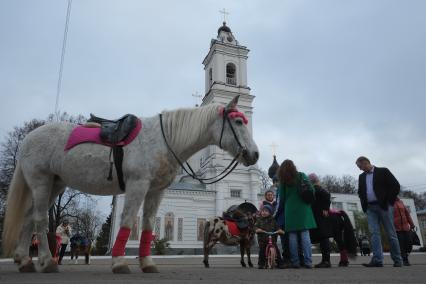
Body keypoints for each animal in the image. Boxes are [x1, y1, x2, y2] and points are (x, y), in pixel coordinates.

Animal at [2, 96, 260, 274]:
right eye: (238, 121)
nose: (255, 155)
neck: (164, 139)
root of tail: (29, 137)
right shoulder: (137, 186)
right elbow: (127, 222)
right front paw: (119, 262)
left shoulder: (156, 191)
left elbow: (147, 225)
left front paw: (147, 263)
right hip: (40, 181)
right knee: (39, 220)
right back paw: (46, 263)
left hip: (54, 185)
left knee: (29, 218)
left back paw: (25, 261)